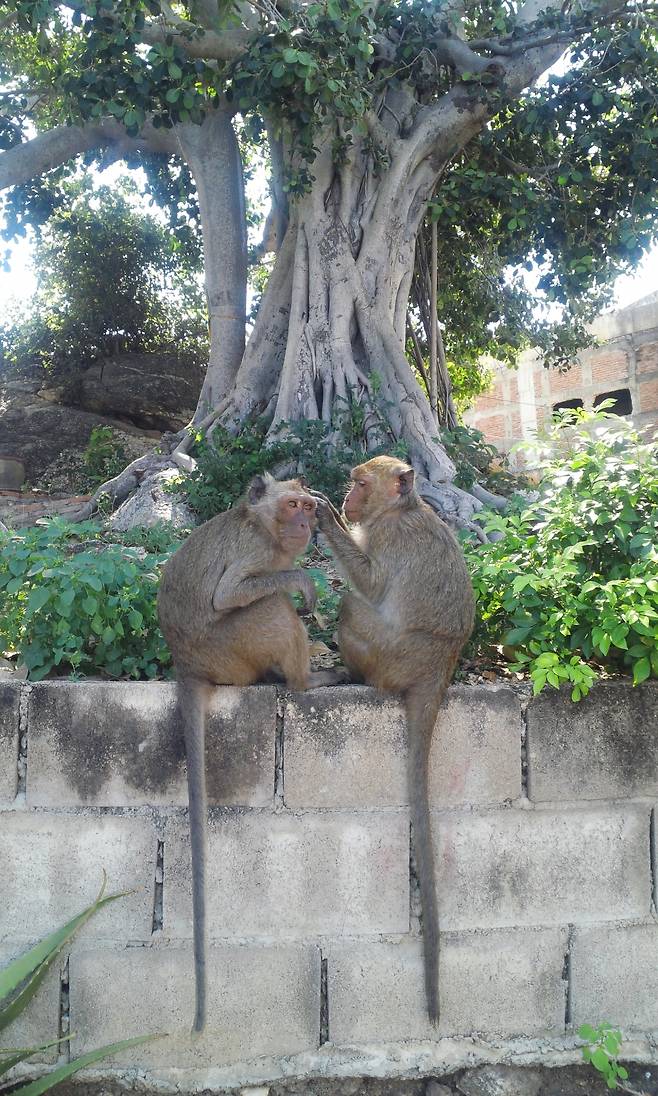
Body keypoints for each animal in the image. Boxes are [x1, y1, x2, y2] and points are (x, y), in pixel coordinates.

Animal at [154, 473, 318, 1034]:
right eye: (292, 506)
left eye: (309, 506)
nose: (307, 523)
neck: (264, 528)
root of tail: (187, 664)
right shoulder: (255, 553)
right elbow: (231, 594)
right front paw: (305, 578)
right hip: (230, 651)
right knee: (269, 607)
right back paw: (306, 682)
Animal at [311, 455, 475, 1025]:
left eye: (361, 483)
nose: (346, 497)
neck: (400, 509)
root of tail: (438, 669)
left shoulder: (386, 537)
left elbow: (372, 584)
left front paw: (324, 518)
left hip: (387, 656)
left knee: (353, 606)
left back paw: (348, 671)